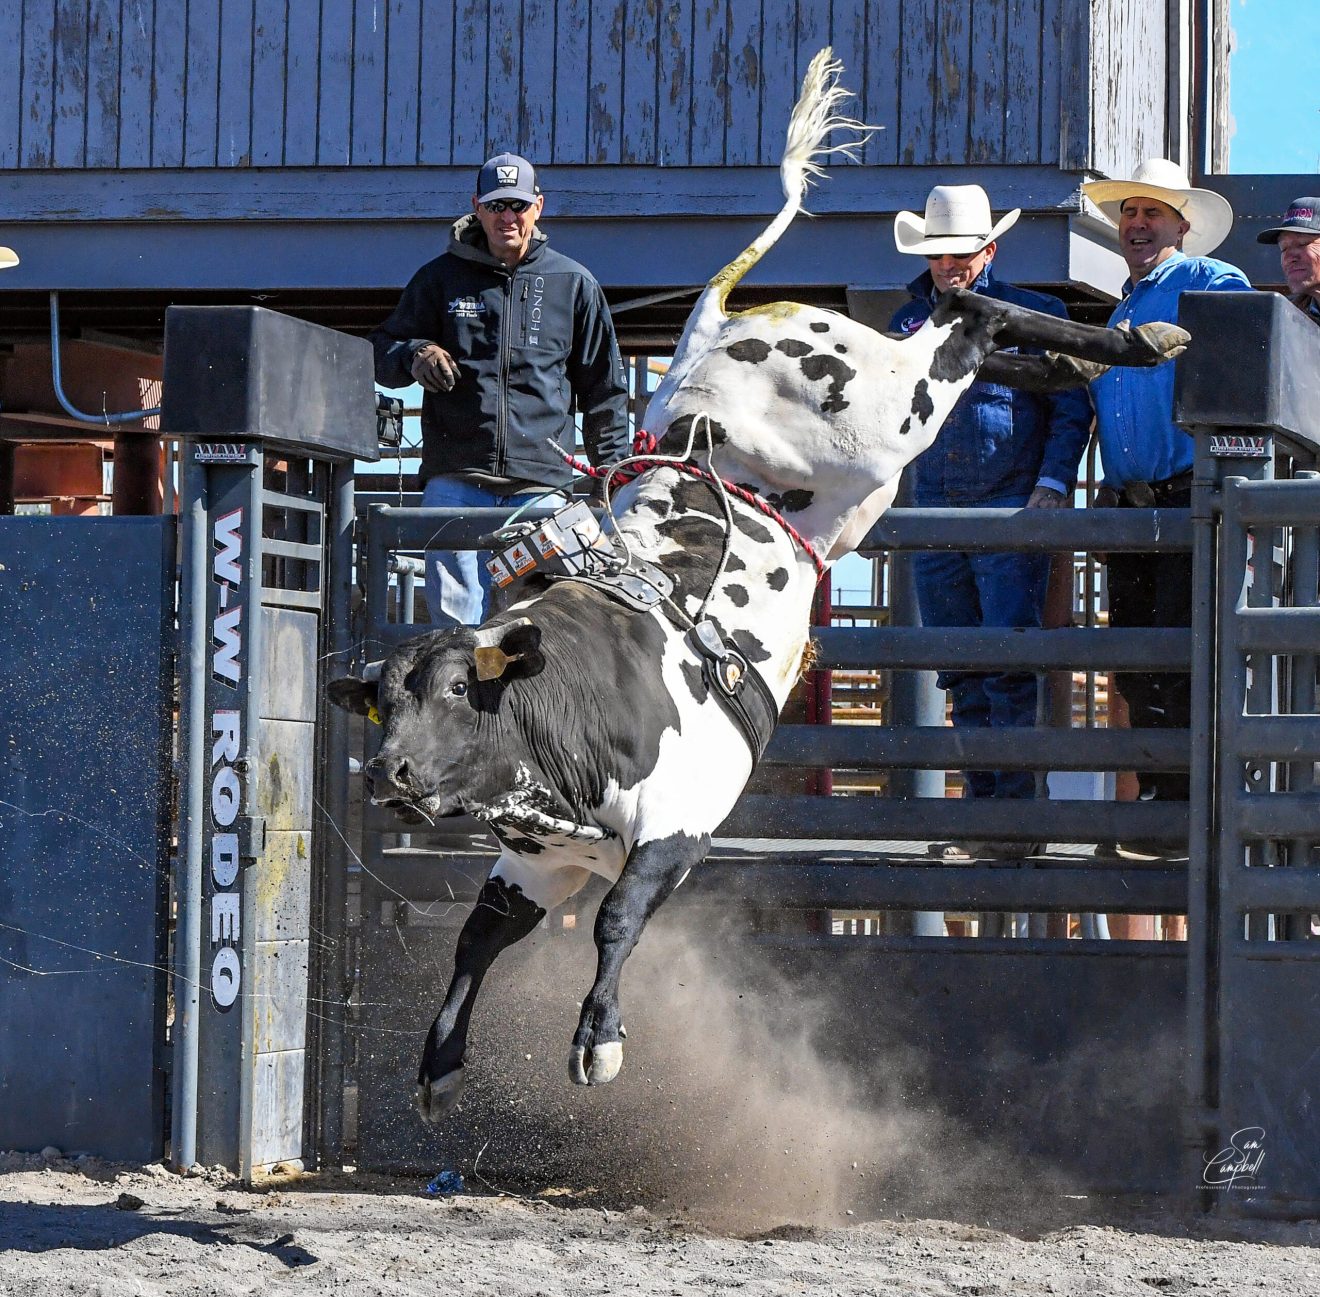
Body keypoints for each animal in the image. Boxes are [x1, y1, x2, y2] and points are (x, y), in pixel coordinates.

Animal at [329, 50, 1189, 1123]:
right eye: (380, 701)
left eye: (454, 689)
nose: (386, 774)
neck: (555, 714)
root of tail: (720, 324)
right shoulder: (536, 856)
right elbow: (481, 934)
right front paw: (441, 1061)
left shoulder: (679, 826)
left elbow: (616, 918)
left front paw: (599, 1045)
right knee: (983, 341)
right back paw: (1078, 359)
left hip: (887, 409)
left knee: (973, 315)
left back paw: (1139, 341)